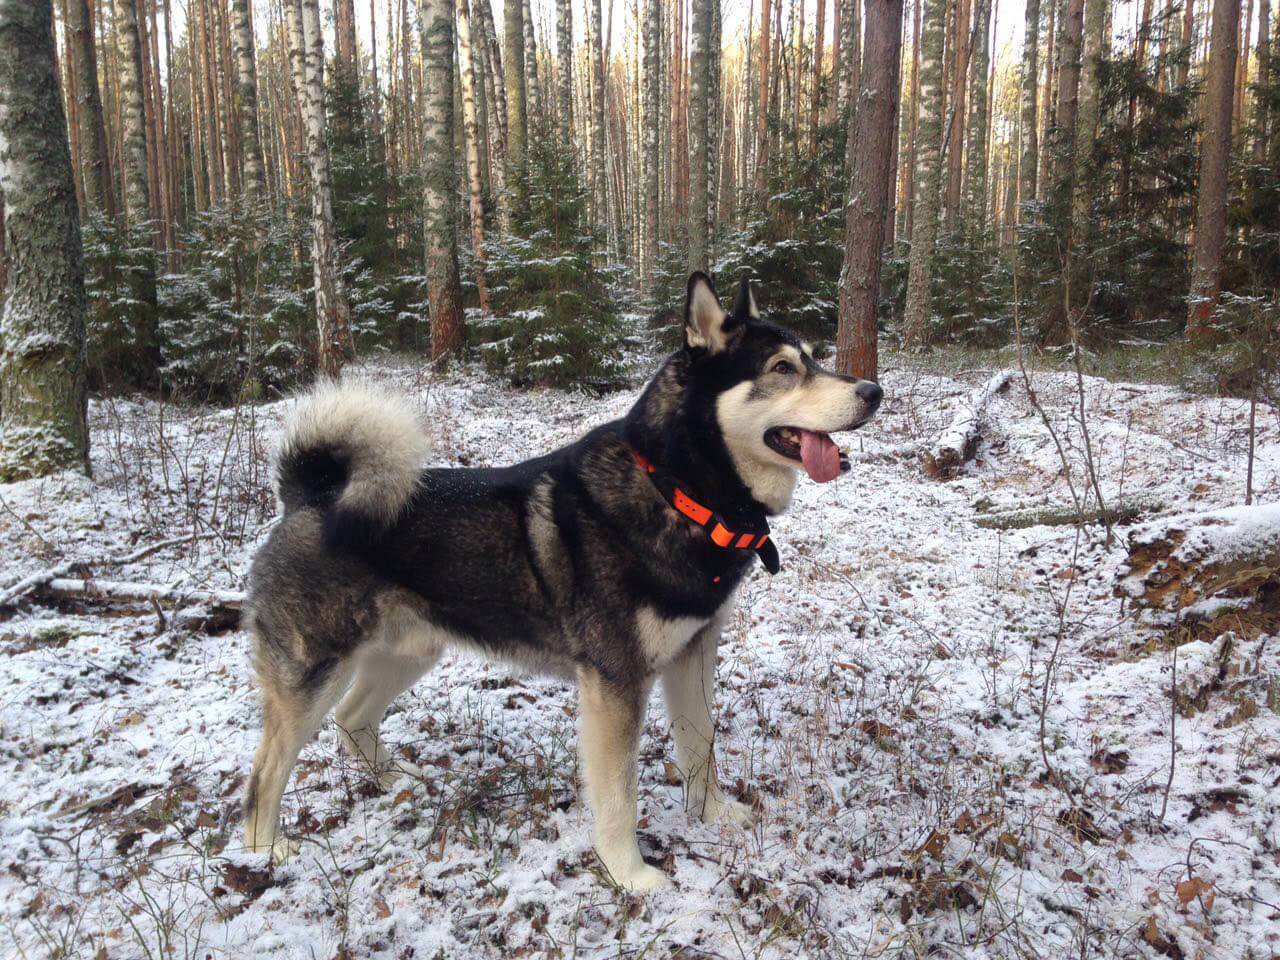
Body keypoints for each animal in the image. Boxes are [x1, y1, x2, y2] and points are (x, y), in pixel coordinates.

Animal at [240, 272, 880, 896]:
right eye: (783, 368)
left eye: (813, 358)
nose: (873, 391)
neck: (679, 490)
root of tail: (311, 496)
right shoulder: (615, 684)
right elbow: (619, 795)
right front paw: (630, 875)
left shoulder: (693, 655)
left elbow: (701, 748)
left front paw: (713, 815)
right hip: (313, 676)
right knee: (266, 771)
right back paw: (263, 853)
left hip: (410, 652)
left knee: (352, 721)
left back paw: (397, 778)